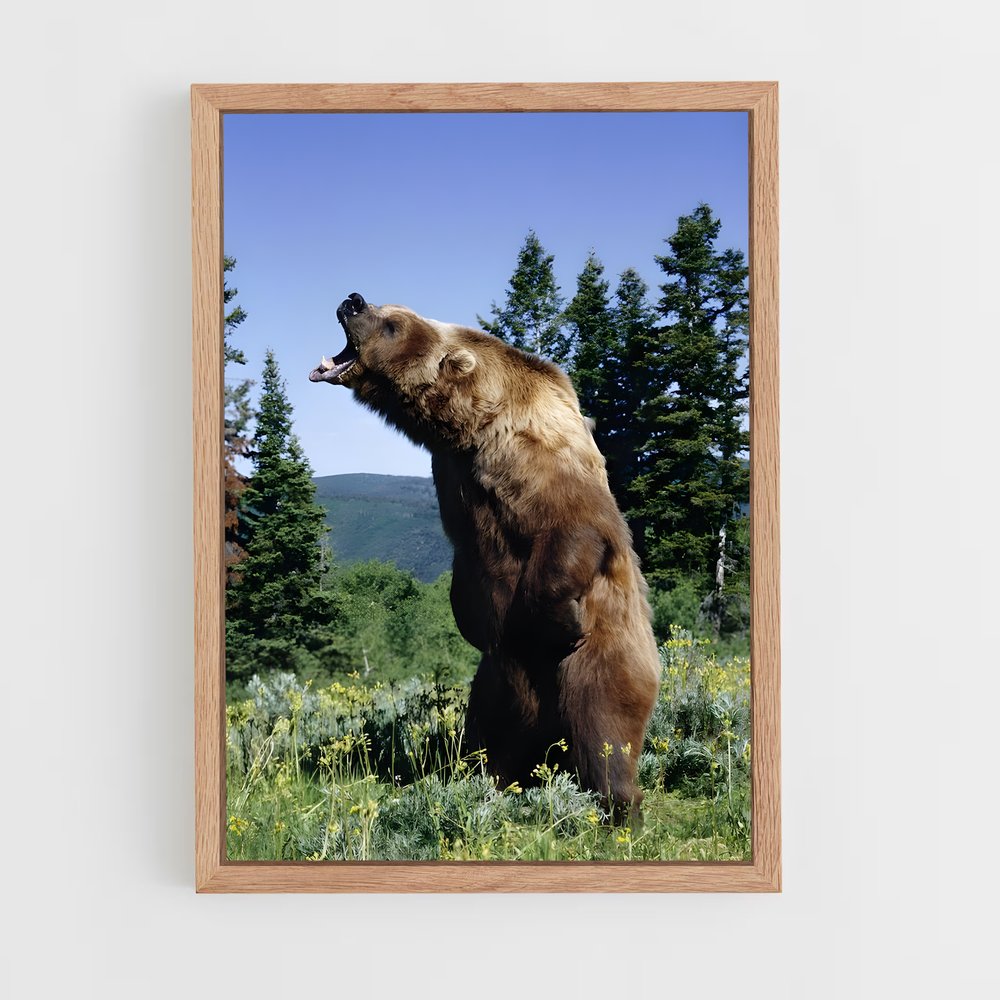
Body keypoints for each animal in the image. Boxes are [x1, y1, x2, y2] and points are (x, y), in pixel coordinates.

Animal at [309, 292, 661, 821]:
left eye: (392, 324)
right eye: (385, 309)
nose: (352, 301)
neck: (473, 427)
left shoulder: (542, 463)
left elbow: (574, 531)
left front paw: (562, 619)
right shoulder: (456, 481)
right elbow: (468, 573)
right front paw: (470, 619)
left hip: (605, 659)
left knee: (603, 729)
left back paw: (619, 807)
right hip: (495, 685)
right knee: (488, 739)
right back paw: (486, 783)